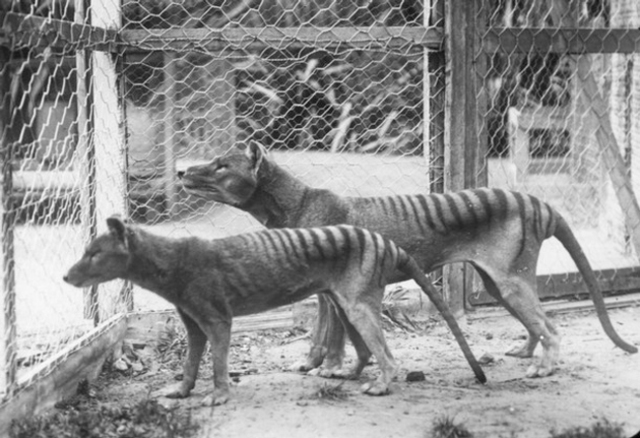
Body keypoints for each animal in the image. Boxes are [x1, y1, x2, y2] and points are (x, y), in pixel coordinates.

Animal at [63, 216, 486, 406]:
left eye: (94, 253)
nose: (66, 275)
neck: (171, 261)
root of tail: (385, 241)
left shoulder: (217, 318)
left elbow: (217, 363)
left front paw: (218, 395)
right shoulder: (193, 323)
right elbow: (190, 362)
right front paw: (181, 390)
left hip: (357, 305)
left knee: (387, 354)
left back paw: (382, 384)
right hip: (344, 304)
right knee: (366, 349)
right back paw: (347, 373)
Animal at [178, 141, 638, 379]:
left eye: (221, 165)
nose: (182, 171)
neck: (296, 202)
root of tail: (539, 203)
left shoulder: (331, 290)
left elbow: (331, 334)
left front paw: (328, 368)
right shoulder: (325, 291)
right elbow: (320, 334)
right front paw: (311, 363)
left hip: (509, 280)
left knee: (551, 326)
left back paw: (544, 367)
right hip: (497, 282)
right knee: (536, 322)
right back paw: (528, 353)